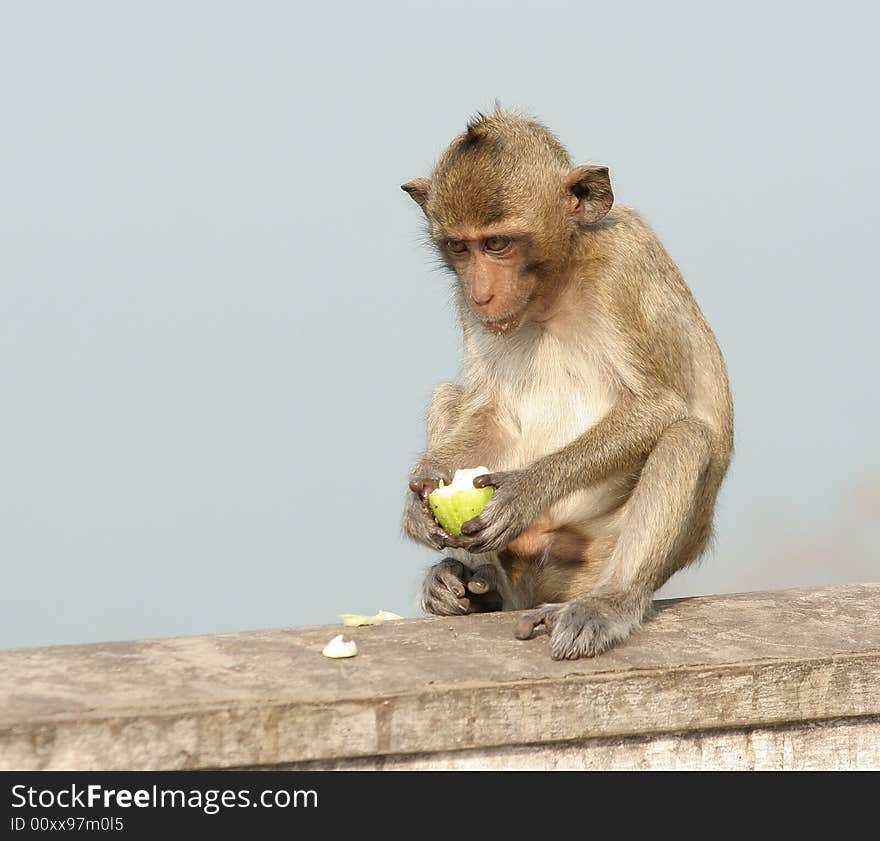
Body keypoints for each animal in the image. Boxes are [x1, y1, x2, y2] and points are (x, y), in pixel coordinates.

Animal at [398, 105, 728, 660]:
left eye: (497, 244)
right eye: (459, 248)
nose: (481, 293)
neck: (553, 284)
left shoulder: (622, 263)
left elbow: (659, 405)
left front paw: (524, 491)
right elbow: (491, 411)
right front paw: (418, 499)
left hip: (595, 555)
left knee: (687, 437)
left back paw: (610, 603)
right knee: (451, 397)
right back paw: (469, 583)